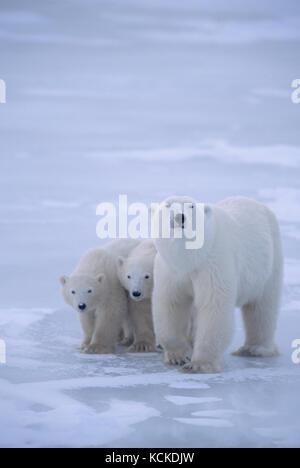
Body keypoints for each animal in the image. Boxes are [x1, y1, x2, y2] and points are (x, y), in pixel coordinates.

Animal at [154, 196, 282, 374]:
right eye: (167, 206)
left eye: (191, 206)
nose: (180, 217)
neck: (192, 258)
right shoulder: (171, 269)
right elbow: (171, 304)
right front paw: (178, 357)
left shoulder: (213, 264)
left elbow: (213, 306)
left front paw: (198, 364)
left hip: (268, 264)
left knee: (262, 308)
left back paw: (254, 348)